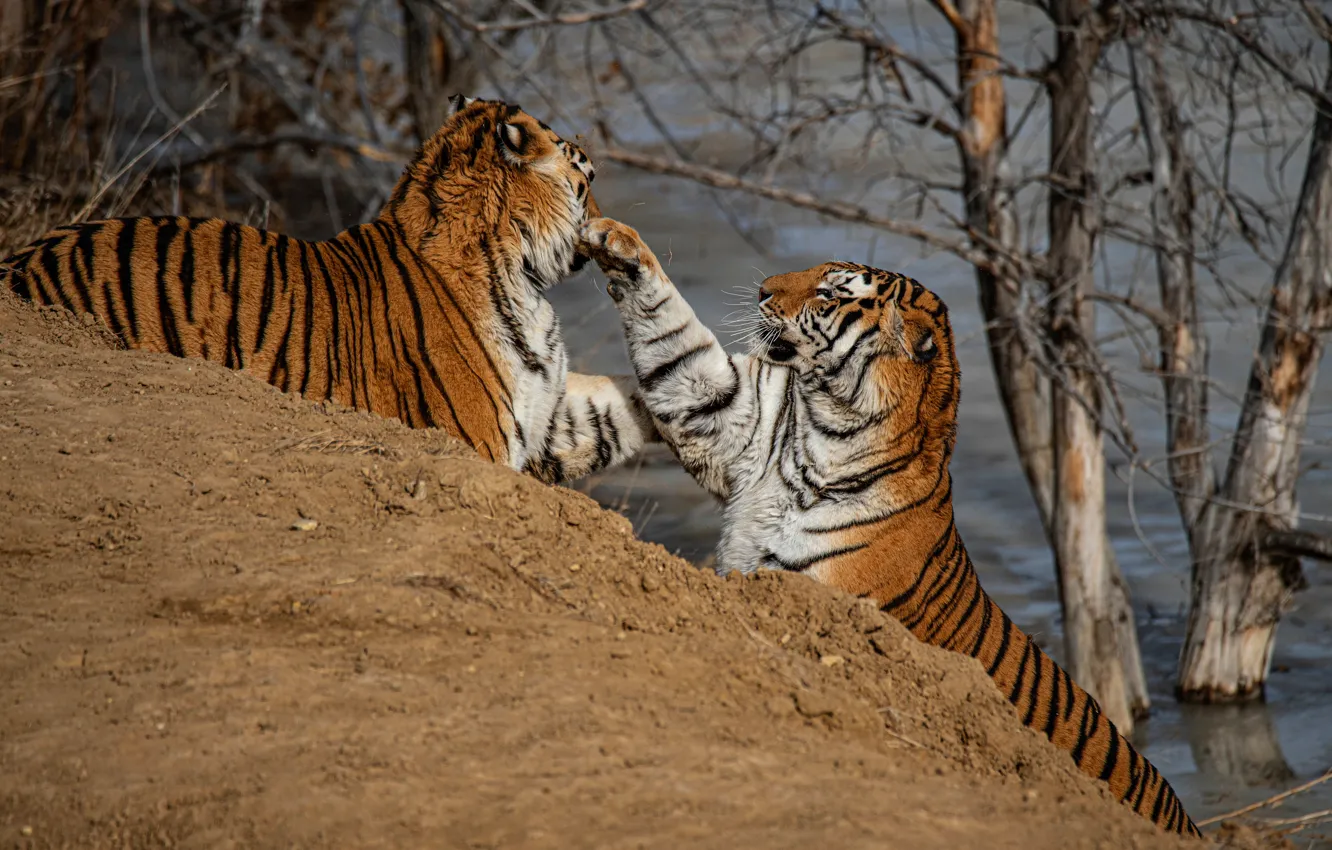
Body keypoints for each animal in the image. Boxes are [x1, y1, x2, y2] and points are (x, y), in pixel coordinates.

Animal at [1, 96, 655, 485]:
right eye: (587, 178)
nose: (603, 219)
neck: (521, 279)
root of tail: (19, 261)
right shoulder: (477, 444)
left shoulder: (546, 409)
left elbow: (614, 404)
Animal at [575, 216, 1201, 838]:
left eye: (830, 292)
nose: (762, 291)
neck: (823, 429)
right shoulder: (730, 411)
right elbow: (677, 345)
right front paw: (614, 240)